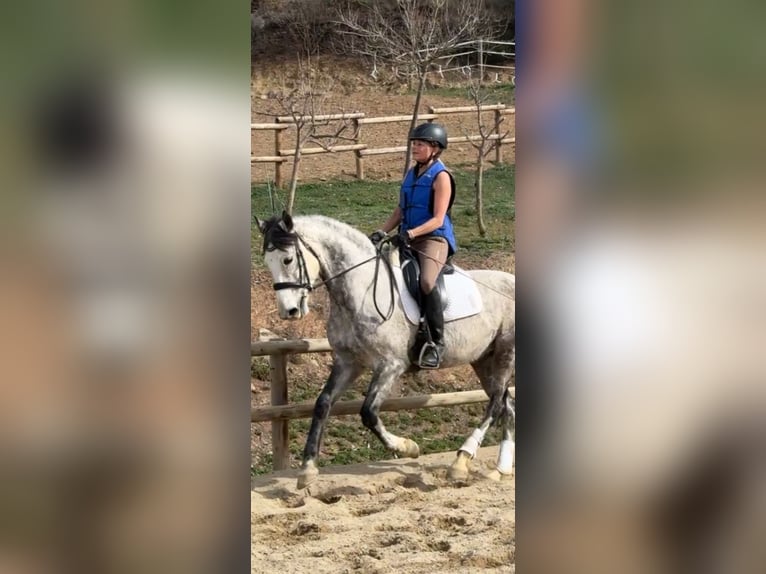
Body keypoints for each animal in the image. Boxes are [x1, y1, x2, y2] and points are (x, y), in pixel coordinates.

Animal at [256, 212, 516, 490]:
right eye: (268, 262)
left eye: (288, 259)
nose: (289, 311)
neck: (362, 290)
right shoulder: (348, 362)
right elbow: (322, 404)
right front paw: (307, 468)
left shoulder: (391, 365)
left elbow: (368, 412)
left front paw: (408, 447)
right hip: (483, 359)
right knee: (506, 403)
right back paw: (500, 469)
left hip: (505, 352)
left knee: (495, 404)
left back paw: (461, 461)